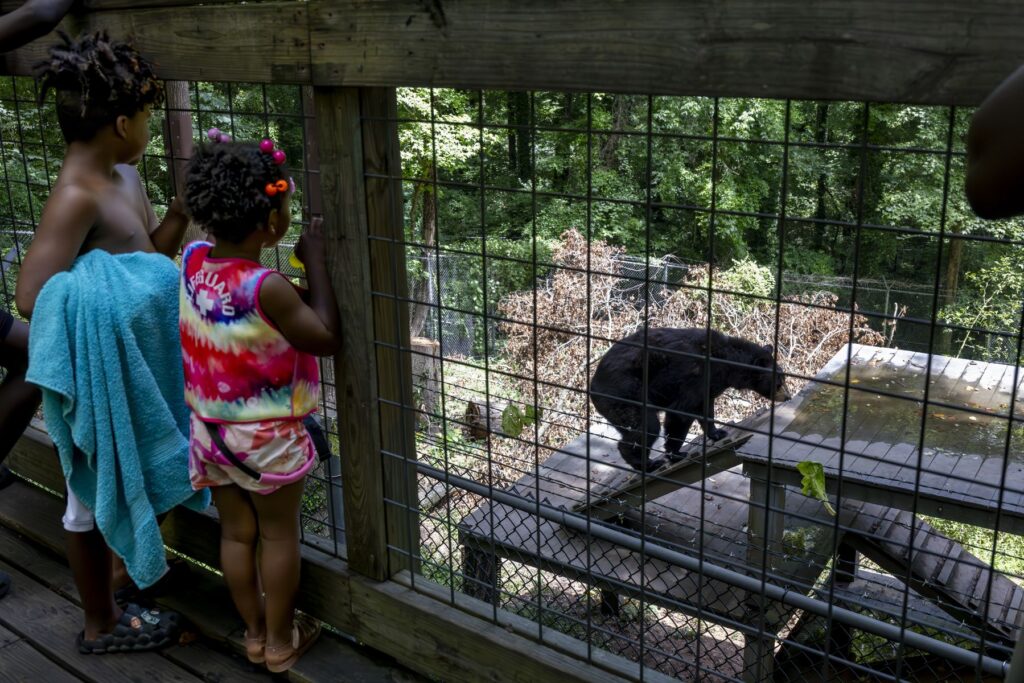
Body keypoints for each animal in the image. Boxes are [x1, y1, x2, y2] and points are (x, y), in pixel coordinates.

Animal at [585, 327, 790, 473]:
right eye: (779, 382)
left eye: (783, 378)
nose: (787, 396)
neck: (726, 361)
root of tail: (592, 387)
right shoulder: (695, 375)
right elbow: (681, 413)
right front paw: (675, 453)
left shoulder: (710, 383)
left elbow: (706, 407)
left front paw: (717, 433)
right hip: (626, 393)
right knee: (647, 426)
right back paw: (647, 463)